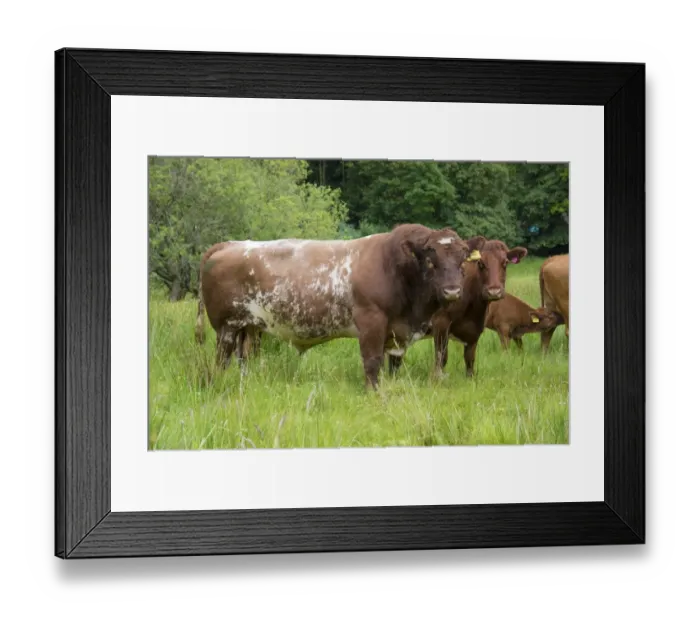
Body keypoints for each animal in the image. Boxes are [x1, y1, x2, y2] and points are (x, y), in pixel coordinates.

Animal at [194, 224, 486, 390]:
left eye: (463, 258)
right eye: (429, 259)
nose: (452, 291)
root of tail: (231, 244)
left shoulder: (394, 332)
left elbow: (388, 364)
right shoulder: (371, 322)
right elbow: (372, 363)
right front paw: (373, 394)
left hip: (247, 327)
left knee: (241, 360)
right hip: (226, 327)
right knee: (221, 360)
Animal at [386, 239, 528, 378]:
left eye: (505, 263)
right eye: (480, 263)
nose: (494, 291)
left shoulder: (475, 330)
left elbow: (470, 361)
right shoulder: (441, 324)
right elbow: (441, 359)